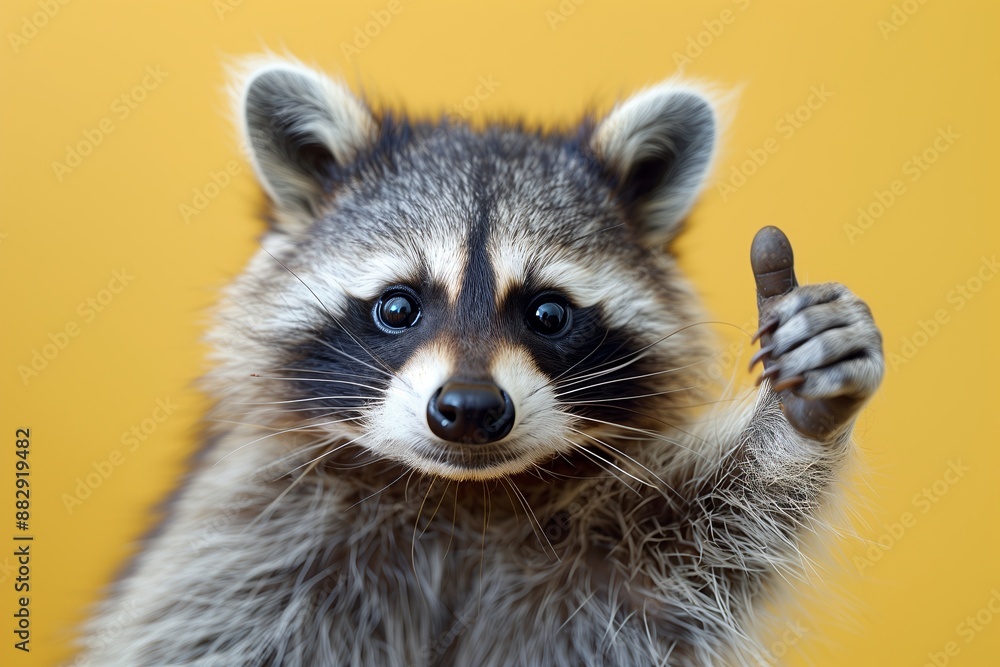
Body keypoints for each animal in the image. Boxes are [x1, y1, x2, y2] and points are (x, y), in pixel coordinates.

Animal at [79, 58, 884, 666]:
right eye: (397, 307)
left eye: (548, 313)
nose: (469, 409)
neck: (458, 497)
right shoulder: (249, 532)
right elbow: (188, 626)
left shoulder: (616, 571)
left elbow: (710, 538)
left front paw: (791, 429)